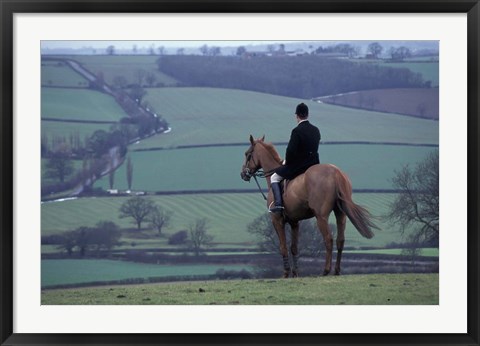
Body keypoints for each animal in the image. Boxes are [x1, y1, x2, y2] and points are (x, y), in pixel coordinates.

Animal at [240, 136, 378, 278]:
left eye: (247, 154)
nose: (243, 174)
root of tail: (336, 172)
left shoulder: (277, 220)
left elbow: (283, 246)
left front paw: (286, 273)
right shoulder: (294, 222)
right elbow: (294, 248)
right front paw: (295, 273)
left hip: (321, 217)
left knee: (328, 239)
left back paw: (325, 271)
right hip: (341, 214)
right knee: (340, 240)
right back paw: (337, 271)